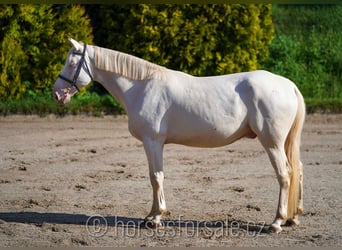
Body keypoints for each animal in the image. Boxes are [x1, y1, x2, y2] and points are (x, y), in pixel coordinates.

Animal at [53, 38, 304, 233]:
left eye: (72, 63)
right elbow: (156, 176)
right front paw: (150, 216)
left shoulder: (153, 141)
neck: (142, 86)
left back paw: (276, 222)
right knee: (298, 170)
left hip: (272, 143)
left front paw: (155, 218)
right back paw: (293, 217)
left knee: (284, 174)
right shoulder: (155, 143)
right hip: (283, 143)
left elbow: (156, 177)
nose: (57, 94)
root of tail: (289, 86)